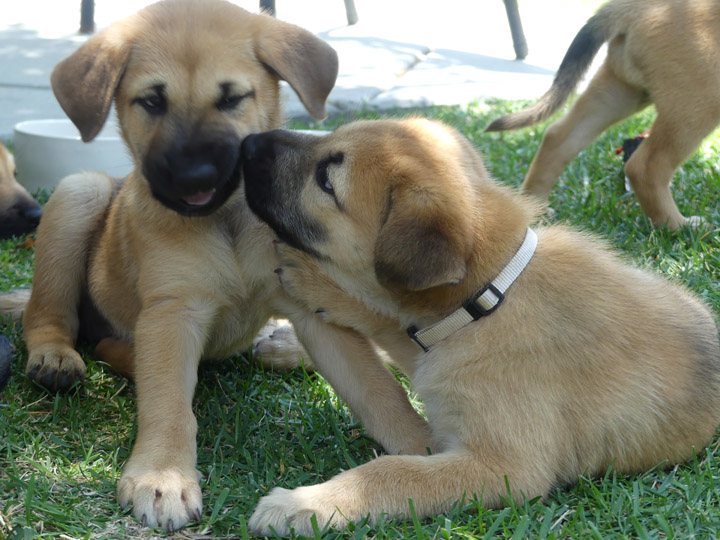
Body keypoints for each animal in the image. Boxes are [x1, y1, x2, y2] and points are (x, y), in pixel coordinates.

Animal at [14, 0, 434, 528]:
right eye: (151, 102)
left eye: (233, 98)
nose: (194, 176)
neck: (229, 224)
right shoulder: (173, 311)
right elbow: (168, 401)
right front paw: (163, 475)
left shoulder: (305, 300)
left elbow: (376, 387)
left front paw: (424, 446)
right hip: (79, 191)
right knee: (51, 316)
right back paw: (56, 357)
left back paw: (278, 347)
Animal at [240, 118, 720, 536]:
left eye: (326, 179)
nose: (245, 143)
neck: (489, 299)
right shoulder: (433, 341)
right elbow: (381, 318)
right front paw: (315, 283)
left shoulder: (506, 468)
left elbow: (393, 471)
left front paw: (302, 504)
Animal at [484, 0, 720, 229]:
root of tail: (636, 6)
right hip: (697, 100)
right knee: (645, 167)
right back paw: (679, 226)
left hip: (618, 90)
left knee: (558, 138)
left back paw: (534, 210)